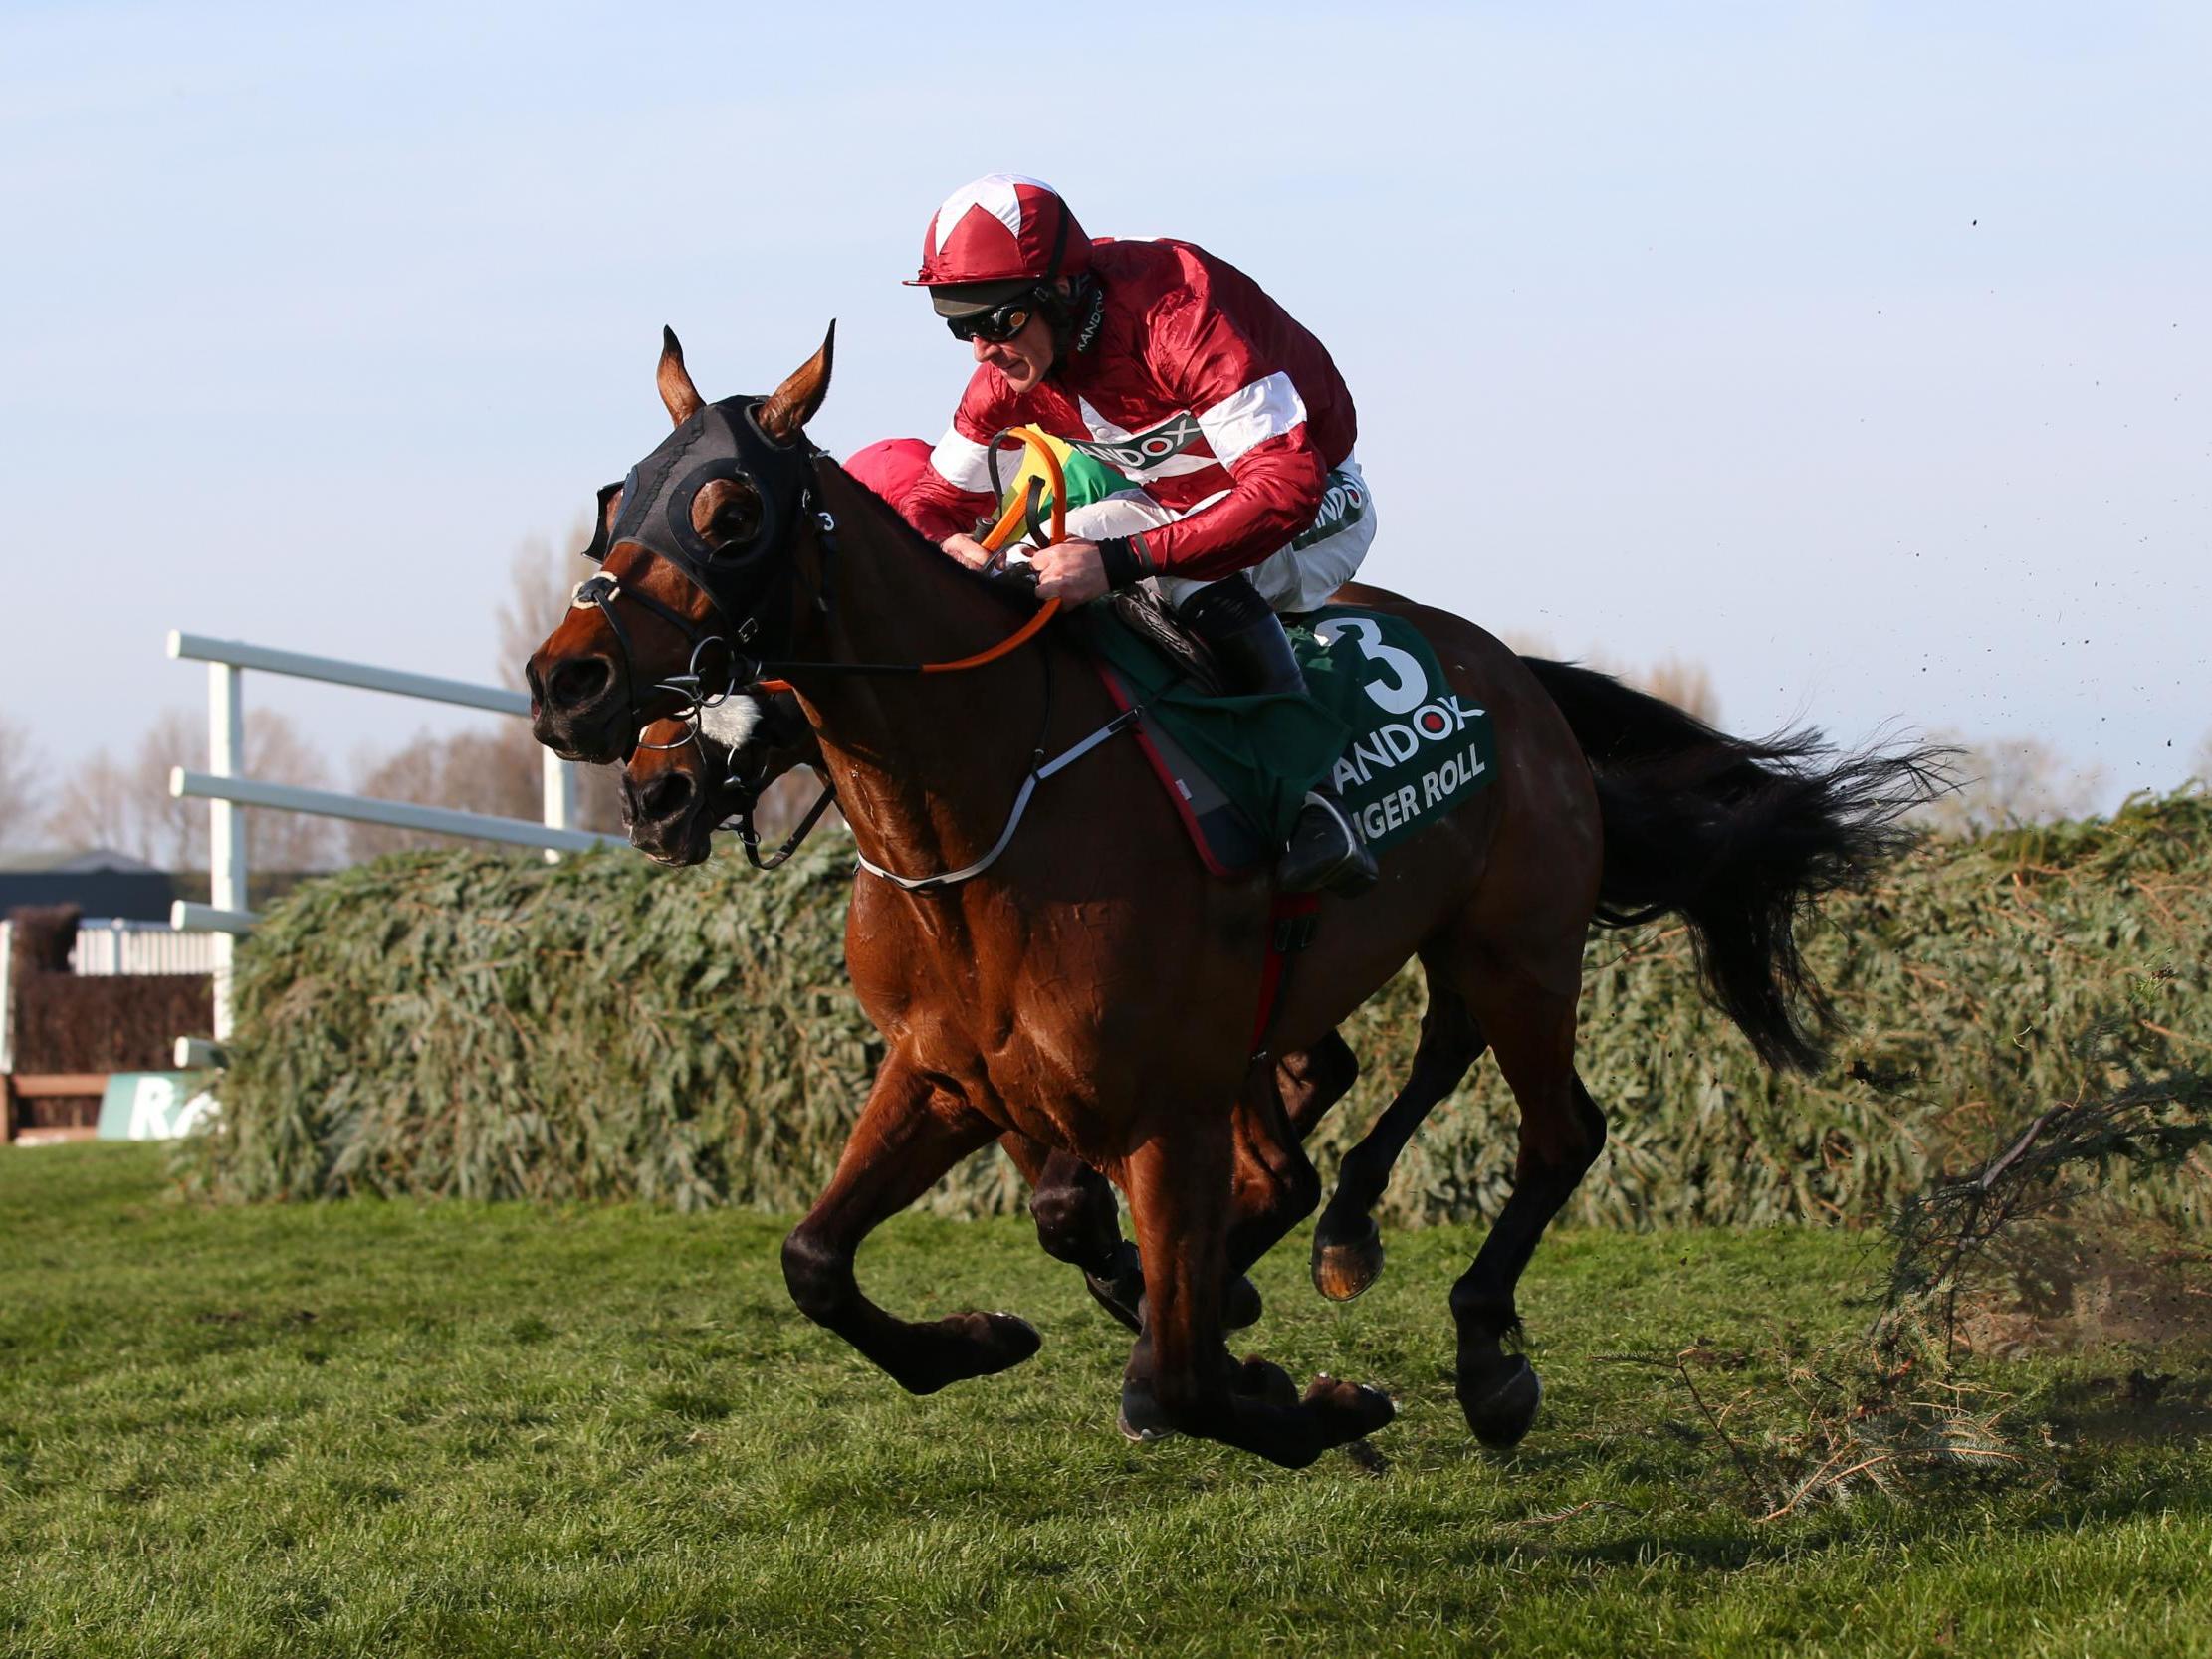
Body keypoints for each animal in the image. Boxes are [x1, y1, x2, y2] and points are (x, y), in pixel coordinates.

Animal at [531, 326, 1937, 1468]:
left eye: (728, 513)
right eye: (614, 499)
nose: (573, 692)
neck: (983, 809)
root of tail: (1517, 676)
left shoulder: (1168, 1104)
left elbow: (1179, 1370)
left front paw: (1297, 1396)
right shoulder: (946, 1073)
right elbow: (819, 1261)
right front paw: (983, 1336)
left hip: (1521, 946)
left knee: (1555, 1133)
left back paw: (1483, 1352)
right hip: (1432, 954)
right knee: (1404, 1080)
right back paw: (1342, 1235)